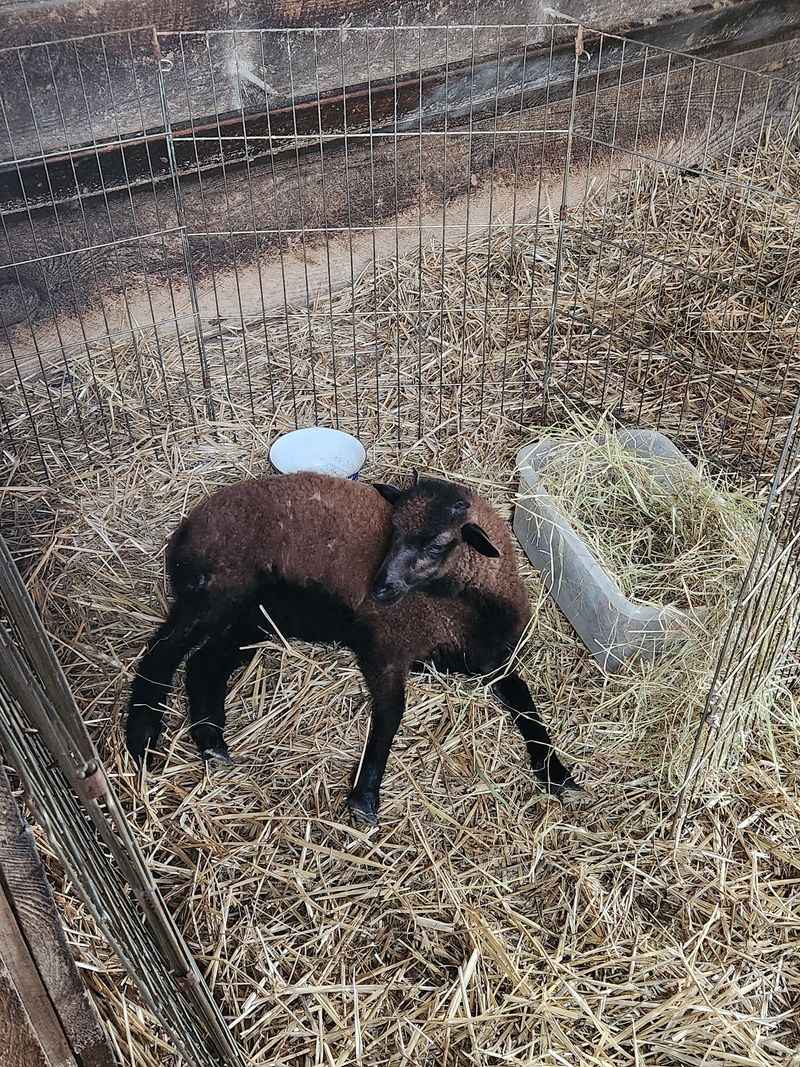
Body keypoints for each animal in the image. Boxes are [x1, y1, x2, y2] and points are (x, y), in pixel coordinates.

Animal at [126, 471, 581, 823]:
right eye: (392, 531)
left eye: (437, 544)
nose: (378, 589)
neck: (461, 611)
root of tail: (185, 530)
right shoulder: (386, 645)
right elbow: (392, 713)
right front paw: (365, 796)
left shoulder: (495, 661)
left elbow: (526, 703)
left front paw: (559, 776)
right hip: (217, 592)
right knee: (162, 653)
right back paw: (143, 738)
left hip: (254, 616)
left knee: (204, 664)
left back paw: (212, 743)